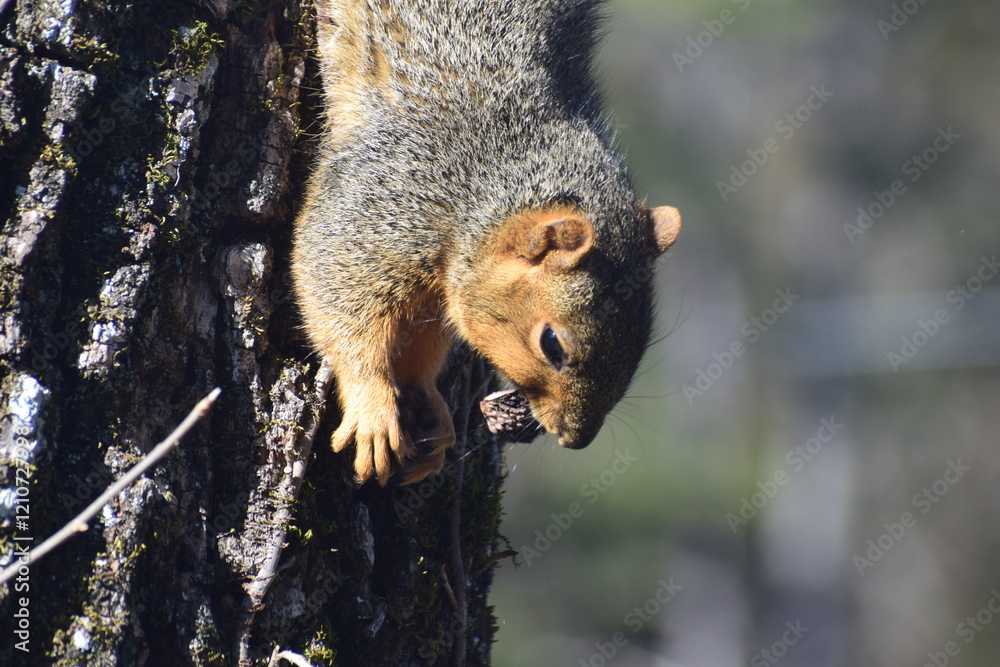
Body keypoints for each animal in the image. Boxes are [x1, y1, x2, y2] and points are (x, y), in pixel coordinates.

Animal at [292, 0, 682, 486]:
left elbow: (420, 341)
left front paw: (428, 405)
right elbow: (333, 285)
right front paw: (374, 410)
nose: (576, 439)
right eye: (551, 343)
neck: (488, 184)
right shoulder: (381, 196)